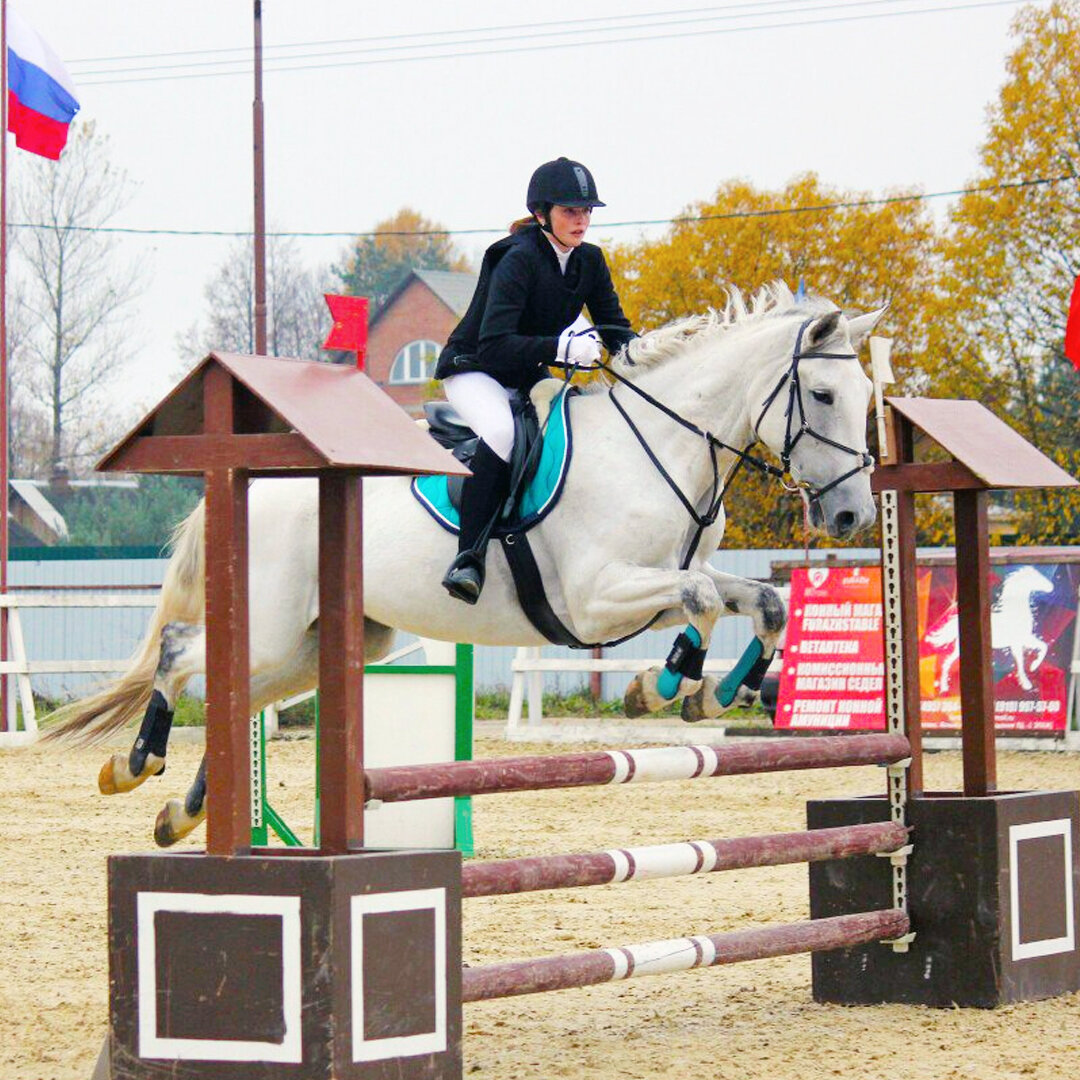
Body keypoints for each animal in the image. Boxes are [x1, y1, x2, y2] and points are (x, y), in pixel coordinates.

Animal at [46, 285, 881, 842]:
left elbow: (758, 601)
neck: (661, 447)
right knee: (181, 655)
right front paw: (670, 682)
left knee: (235, 692)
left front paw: (713, 692)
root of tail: (253, 482)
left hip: (321, 643)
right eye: (823, 392)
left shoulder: (650, 590)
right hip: (274, 627)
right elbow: (704, 597)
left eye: (868, 393)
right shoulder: (595, 599)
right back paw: (134, 765)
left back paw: (180, 812)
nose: (851, 516)